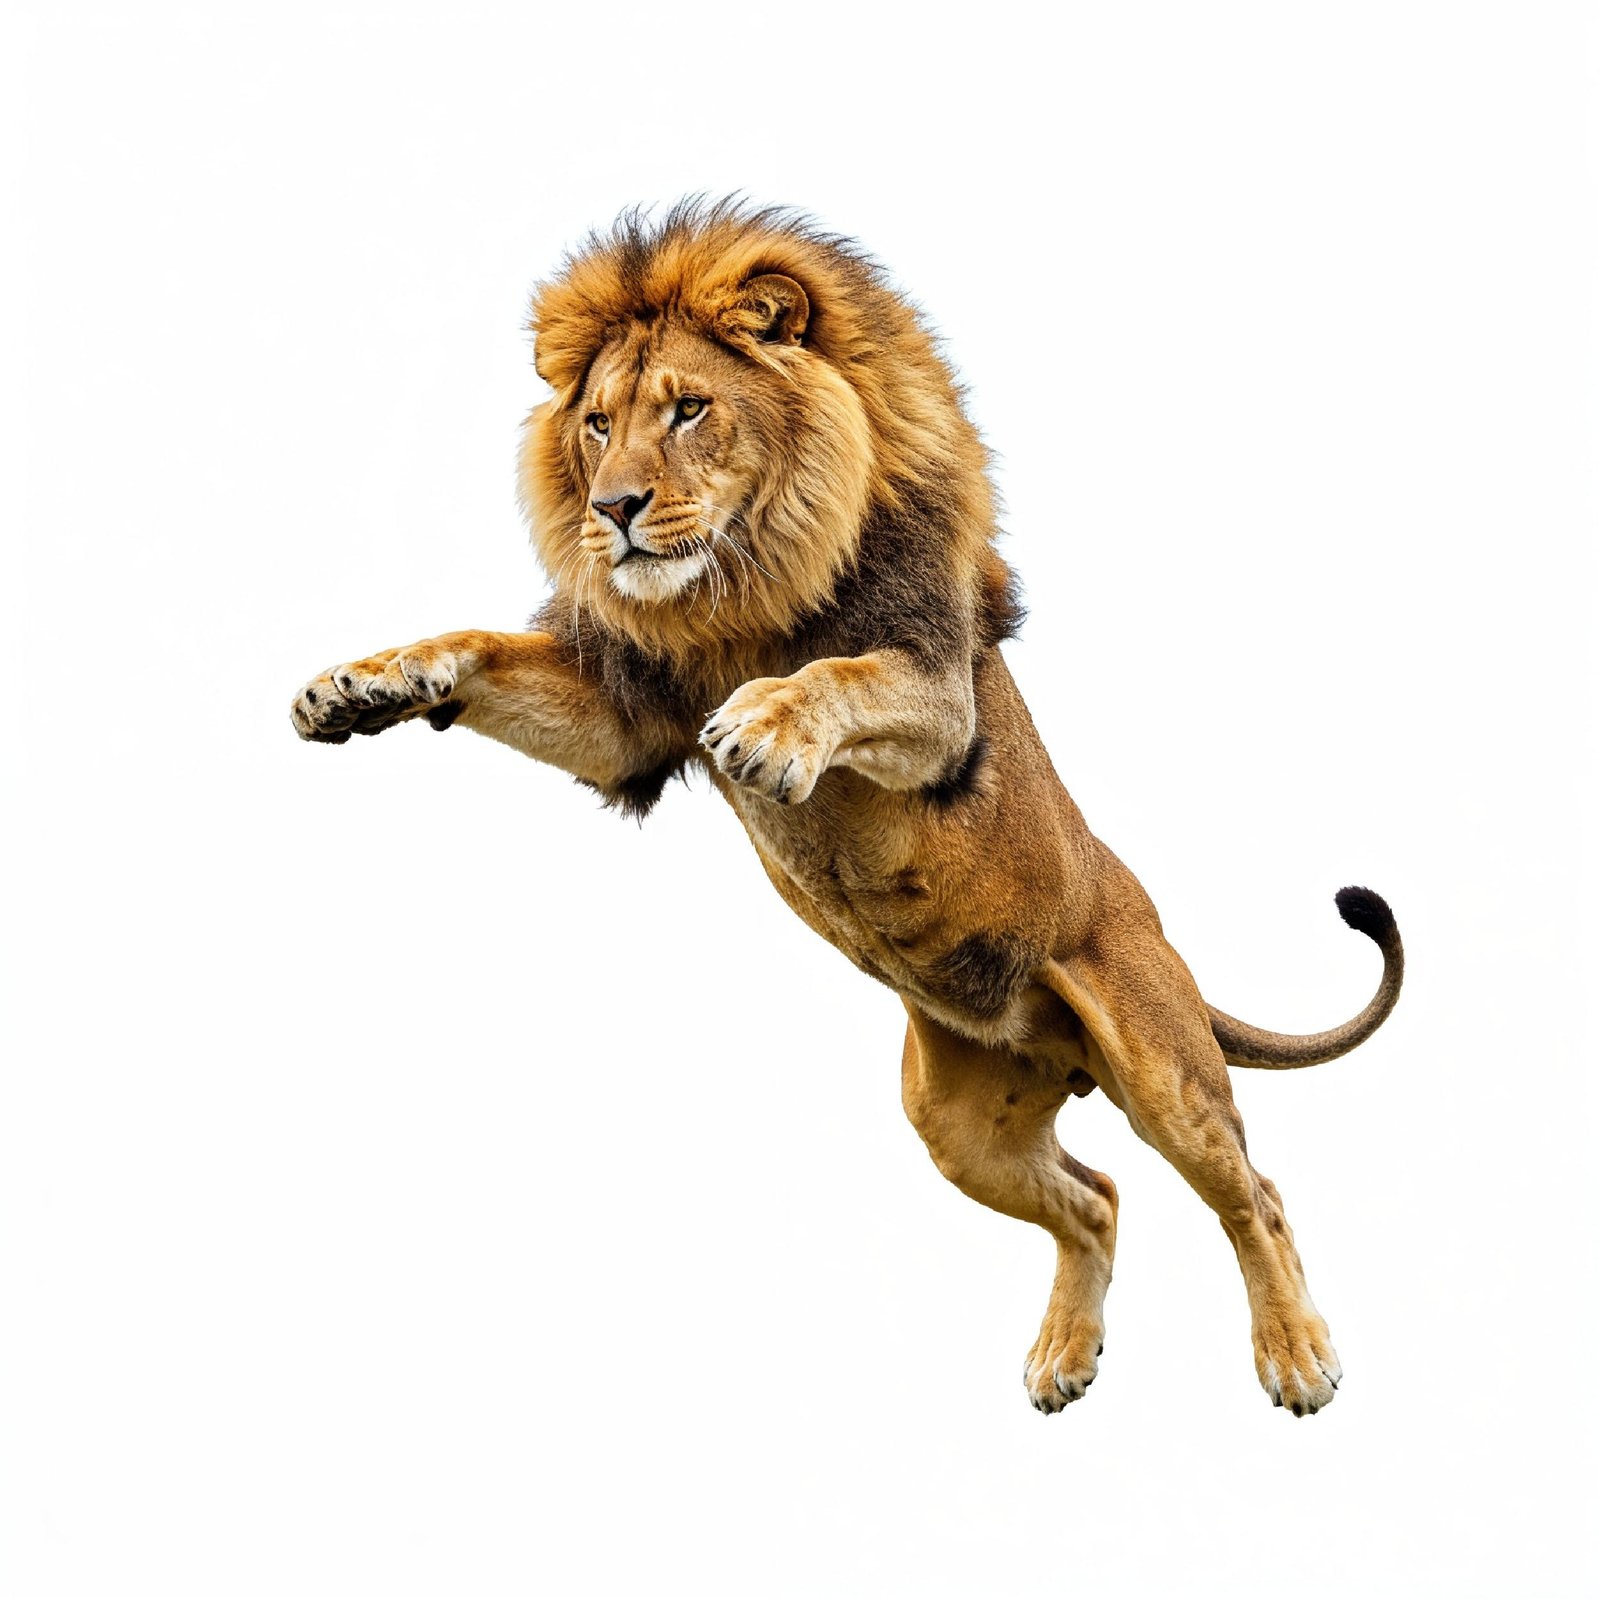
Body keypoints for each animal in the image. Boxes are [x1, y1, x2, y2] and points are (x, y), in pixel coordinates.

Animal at [291, 200, 1402, 1417]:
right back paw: (1064, 1354)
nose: (613, 510)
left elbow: (840, 677)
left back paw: (1294, 1355)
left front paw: (770, 725)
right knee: (1098, 1195)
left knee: (1253, 1189)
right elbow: (479, 649)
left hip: (1161, 1063)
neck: (731, 589)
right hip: (956, 1123)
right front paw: (366, 683)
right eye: (595, 425)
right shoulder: (626, 719)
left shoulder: (937, 693)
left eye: (688, 409)